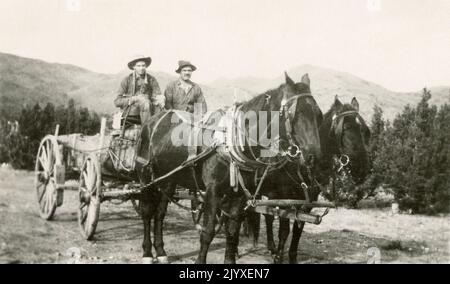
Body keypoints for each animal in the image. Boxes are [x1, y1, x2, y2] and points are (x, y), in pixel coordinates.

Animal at [135, 72, 322, 262]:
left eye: (319, 115)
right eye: (294, 114)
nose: (314, 157)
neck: (230, 143)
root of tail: (150, 122)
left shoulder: (238, 195)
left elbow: (232, 230)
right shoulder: (213, 191)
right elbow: (208, 231)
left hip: (168, 180)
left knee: (159, 213)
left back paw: (160, 251)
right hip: (145, 177)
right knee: (147, 212)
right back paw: (147, 252)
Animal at [250, 96, 370, 264]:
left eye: (365, 130)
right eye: (345, 128)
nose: (362, 167)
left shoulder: (306, 204)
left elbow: (297, 230)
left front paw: (291, 257)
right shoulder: (285, 200)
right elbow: (284, 231)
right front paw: (279, 258)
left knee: (267, 216)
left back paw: (271, 247)